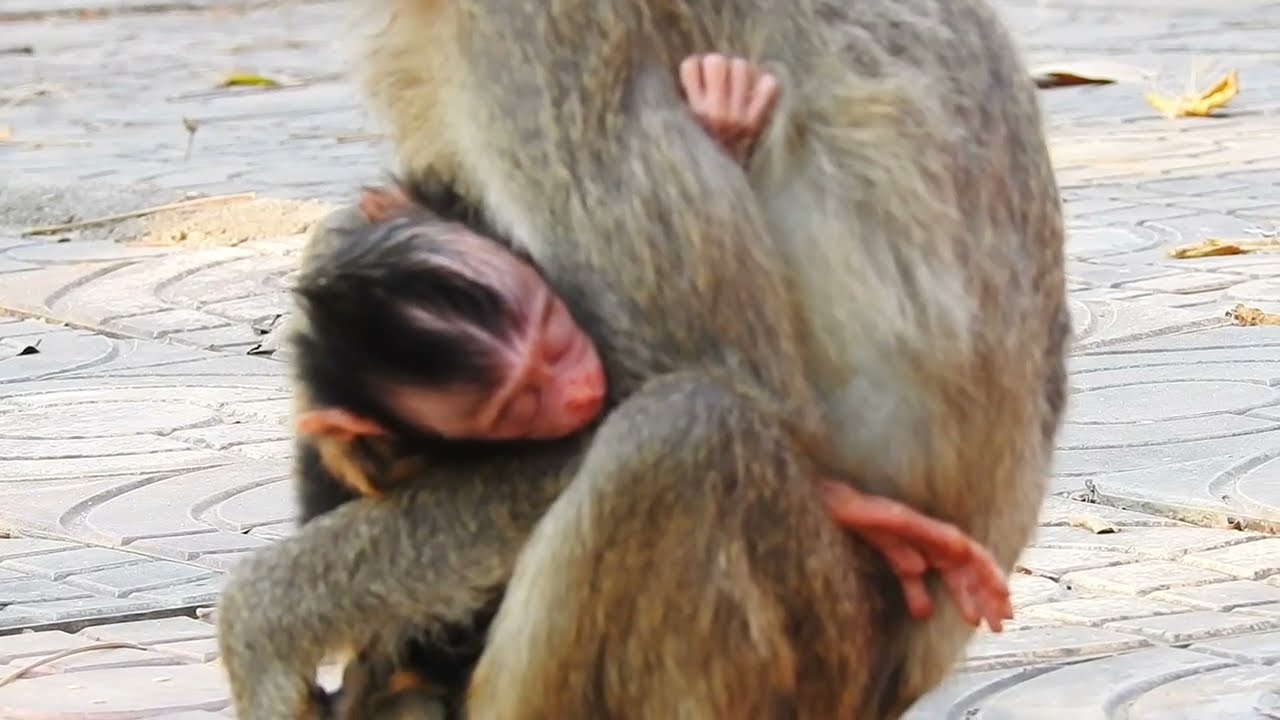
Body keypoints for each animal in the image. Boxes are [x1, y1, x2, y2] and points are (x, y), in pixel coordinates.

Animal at [216, 2, 1068, 717]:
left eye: (551, 347)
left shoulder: (538, 33)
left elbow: (724, 377)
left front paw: (262, 620)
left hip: (822, 658)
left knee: (684, 430)